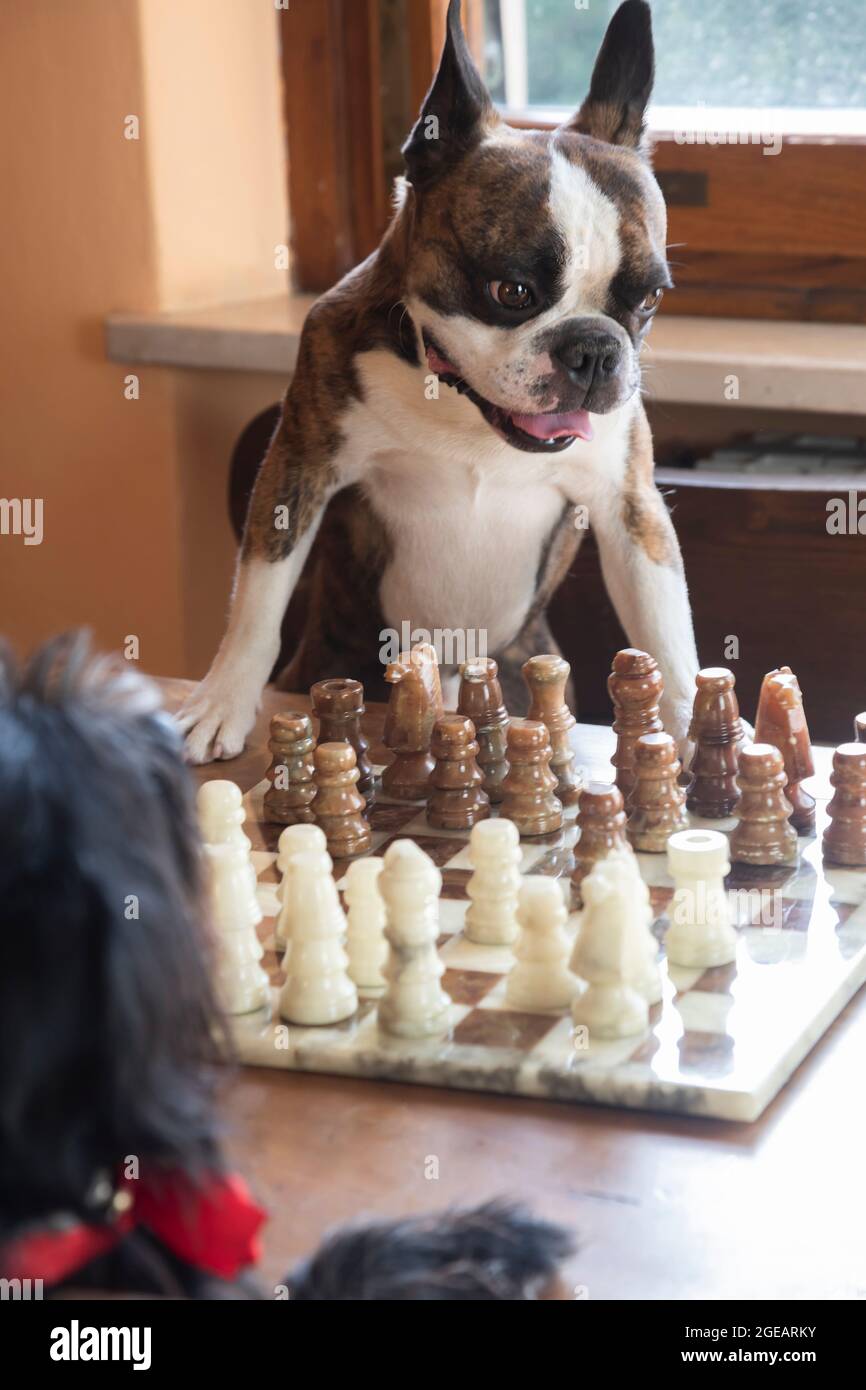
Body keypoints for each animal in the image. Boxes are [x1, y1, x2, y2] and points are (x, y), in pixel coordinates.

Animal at [179, 0, 700, 761]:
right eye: (511, 291)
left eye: (649, 300)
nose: (594, 350)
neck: (460, 406)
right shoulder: (298, 466)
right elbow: (259, 598)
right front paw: (222, 700)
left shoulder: (630, 511)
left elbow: (669, 631)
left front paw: (703, 727)